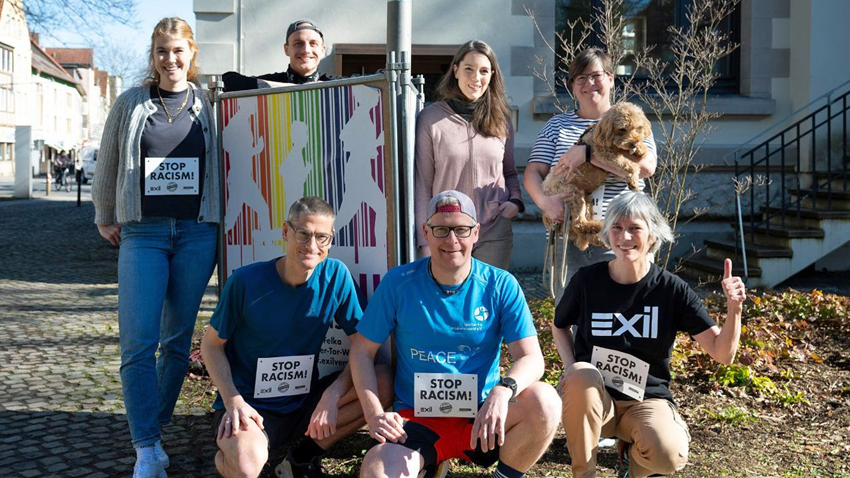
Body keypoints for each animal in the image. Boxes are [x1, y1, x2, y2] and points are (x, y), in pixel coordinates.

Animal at [541, 102, 652, 250]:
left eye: (638, 128)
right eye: (622, 129)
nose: (633, 143)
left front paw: (641, 149)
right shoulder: (603, 154)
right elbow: (629, 164)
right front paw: (633, 180)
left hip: (586, 200)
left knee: (580, 232)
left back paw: (599, 238)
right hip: (573, 195)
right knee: (579, 224)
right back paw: (600, 227)